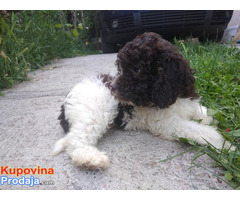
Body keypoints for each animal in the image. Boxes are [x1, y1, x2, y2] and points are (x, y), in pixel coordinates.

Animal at [52, 32, 232, 170]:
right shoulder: (166, 123)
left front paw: (210, 119)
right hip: (93, 113)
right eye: (121, 68)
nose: (112, 87)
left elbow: (202, 113)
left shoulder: (187, 103)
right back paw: (91, 160)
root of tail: (64, 104)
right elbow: (199, 130)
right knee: (76, 141)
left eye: (137, 69)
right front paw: (225, 145)